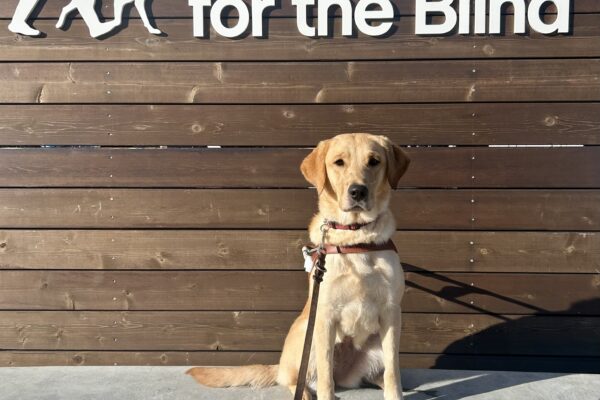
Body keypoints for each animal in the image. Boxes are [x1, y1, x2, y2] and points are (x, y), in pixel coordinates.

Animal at [190, 134, 410, 400]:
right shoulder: (325, 314)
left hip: (374, 344)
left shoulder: (391, 312)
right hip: (308, 333)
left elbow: (393, 370)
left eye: (374, 161)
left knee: (375, 373)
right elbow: (325, 376)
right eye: (339, 162)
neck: (355, 237)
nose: (358, 191)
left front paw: (395, 393)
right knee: (297, 377)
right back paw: (304, 392)